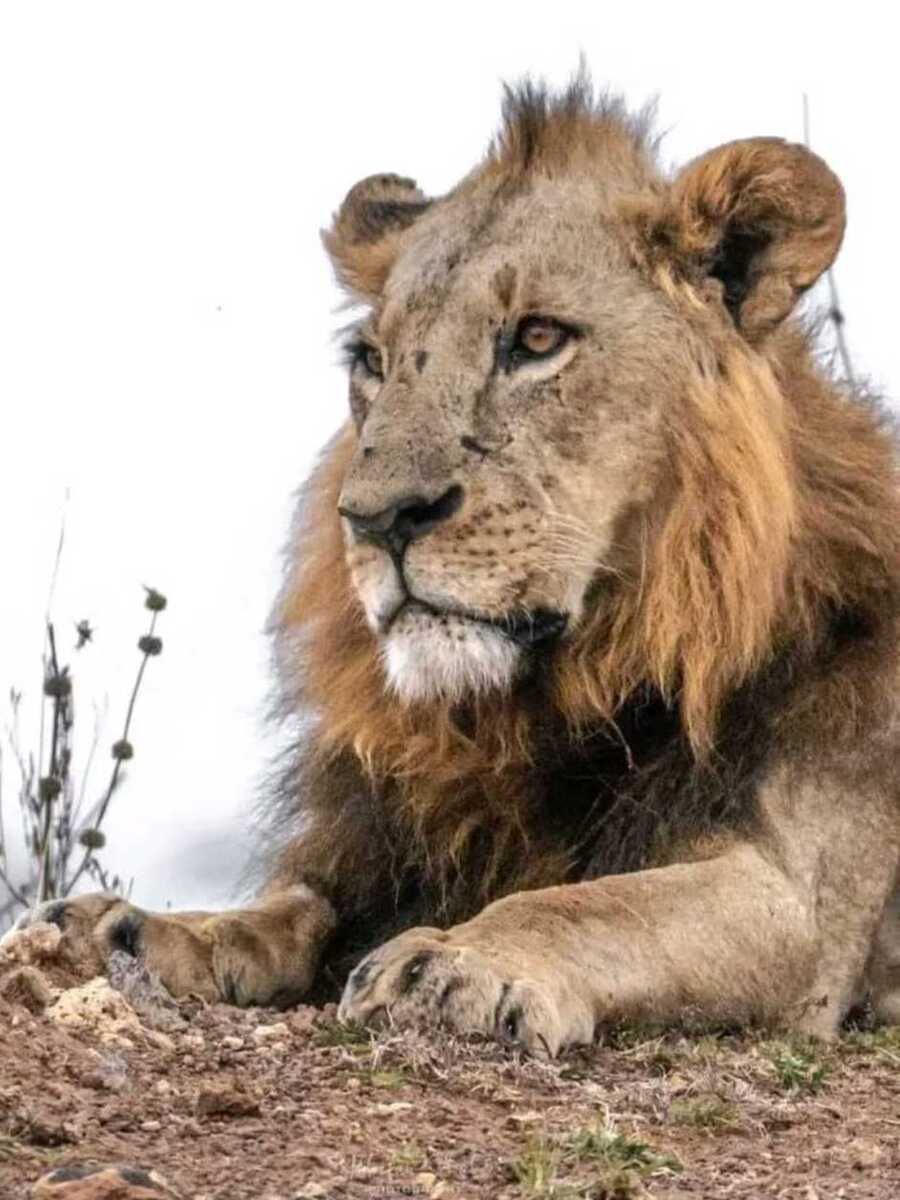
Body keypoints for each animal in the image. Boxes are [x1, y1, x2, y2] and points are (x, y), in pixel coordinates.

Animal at [9, 76, 900, 1055]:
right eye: (372, 361)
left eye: (538, 339)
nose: (376, 517)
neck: (542, 700)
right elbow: (294, 906)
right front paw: (121, 929)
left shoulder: (803, 908)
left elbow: (593, 905)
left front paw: (454, 961)